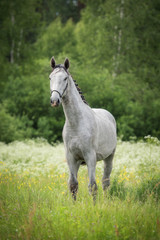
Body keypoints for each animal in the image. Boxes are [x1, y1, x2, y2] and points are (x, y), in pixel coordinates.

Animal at [48, 57, 116, 199]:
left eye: (65, 78)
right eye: (50, 77)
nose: (54, 101)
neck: (76, 124)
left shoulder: (90, 156)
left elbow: (92, 186)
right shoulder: (71, 157)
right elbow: (73, 185)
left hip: (109, 157)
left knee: (105, 182)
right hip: (79, 161)